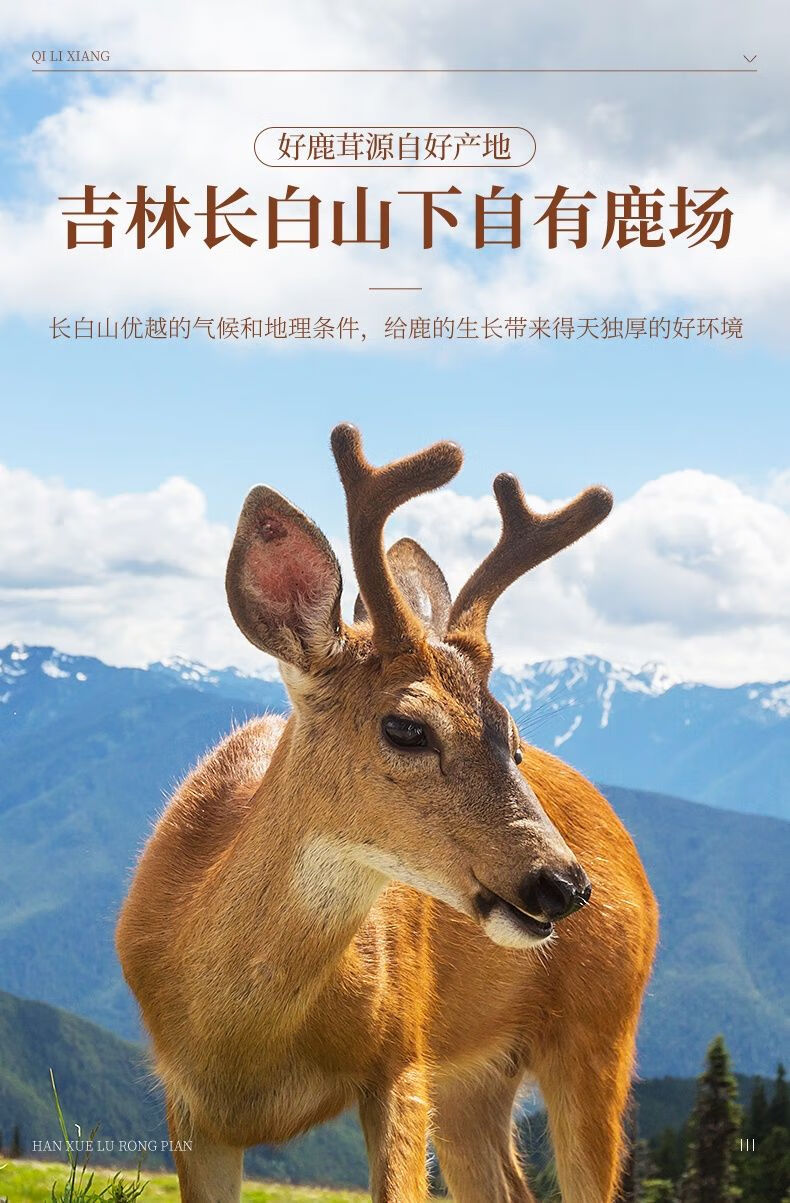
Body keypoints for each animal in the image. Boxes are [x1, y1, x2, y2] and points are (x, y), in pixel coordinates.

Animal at [116, 424, 658, 1203]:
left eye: (513, 739)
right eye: (406, 727)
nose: (564, 882)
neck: (242, 1038)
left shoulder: (402, 1056)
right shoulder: (187, 1103)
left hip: (602, 1028)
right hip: (475, 1078)